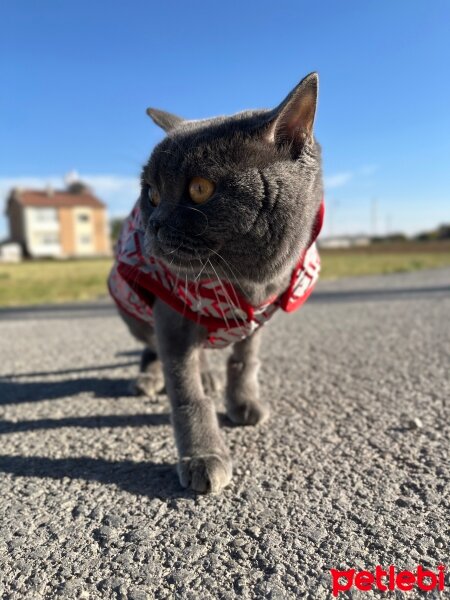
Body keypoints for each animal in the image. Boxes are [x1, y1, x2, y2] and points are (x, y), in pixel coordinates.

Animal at [109, 71, 324, 492]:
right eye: (151, 193)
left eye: (200, 188)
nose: (153, 223)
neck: (247, 281)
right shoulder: (170, 315)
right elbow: (186, 392)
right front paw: (203, 456)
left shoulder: (260, 316)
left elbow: (244, 361)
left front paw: (241, 402)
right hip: (131, 302)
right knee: (152, 346)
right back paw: (151, 376)